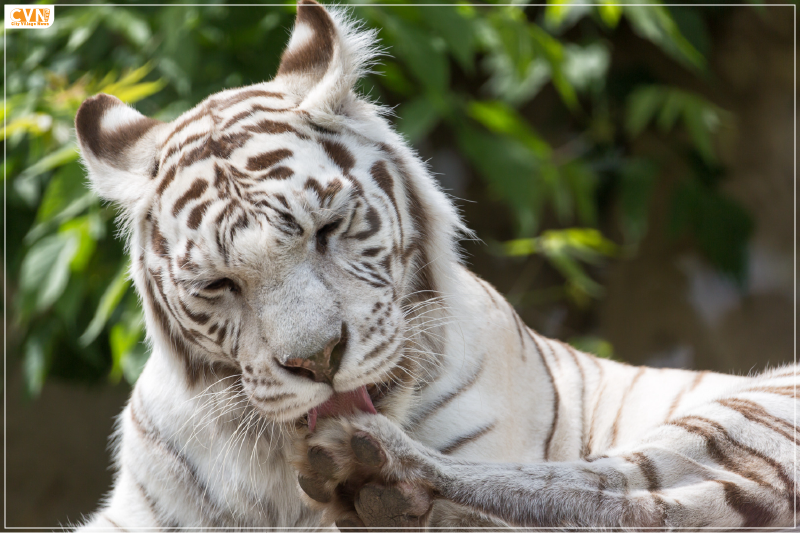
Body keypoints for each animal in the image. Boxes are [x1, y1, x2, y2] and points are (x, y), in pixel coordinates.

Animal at [73, 2, 792, 528]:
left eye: (327, 230)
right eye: (220, 284)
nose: (318, 361)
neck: (284, 468)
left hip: (745, 411)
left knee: (623, 495)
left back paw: (377, 473)